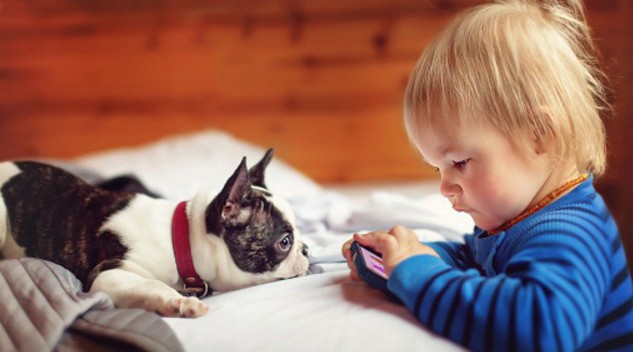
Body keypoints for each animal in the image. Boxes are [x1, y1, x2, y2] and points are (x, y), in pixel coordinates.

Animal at [0, 150, 308, 318]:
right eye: (285, 242)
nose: (306, 249)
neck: (181, 239)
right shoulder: (109, 274)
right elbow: (152, 285)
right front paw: (179, 302)